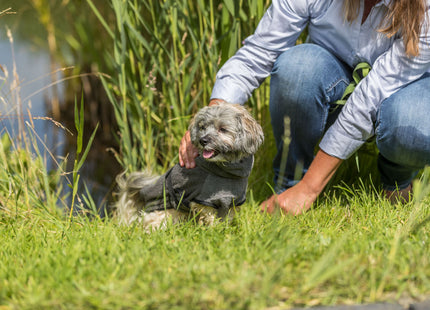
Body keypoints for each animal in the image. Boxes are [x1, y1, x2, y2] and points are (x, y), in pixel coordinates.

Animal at [115, 103, 262, 231]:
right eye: (203, 127)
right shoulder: (204, 201)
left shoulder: (232, 202)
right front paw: (215, 231)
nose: (203, 140)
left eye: (223, 129)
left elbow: (227, 217)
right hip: (165, 212)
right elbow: (211, 218)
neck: (227, 169)